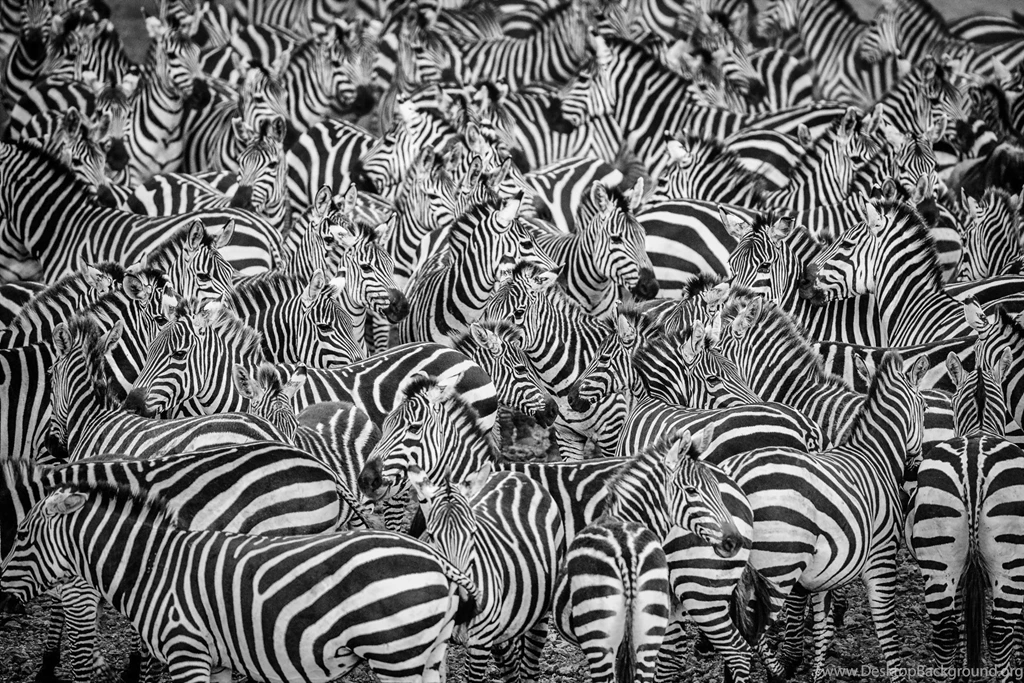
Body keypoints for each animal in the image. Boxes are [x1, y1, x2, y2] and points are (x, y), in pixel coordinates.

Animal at [0, 483, 477, 683]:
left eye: (20, 535)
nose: (0, 600)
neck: (151, 566)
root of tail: (438, 561)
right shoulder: (218, 661)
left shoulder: (186, 650)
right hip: (429, 654)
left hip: (395, 653)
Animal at [409, 463, 563, 682]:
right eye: (431, 536)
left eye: (473, 533)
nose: (464, 605)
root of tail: (513, 473)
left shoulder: (480, 642)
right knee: (510, 664)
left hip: (539, 610)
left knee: (529, 665)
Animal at [719, 351, 928, 683]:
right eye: (925, 408)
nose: (914, 468)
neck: (875, 455)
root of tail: (736, 473)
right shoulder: (881, 556)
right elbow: (885, 625)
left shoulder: (827, 571)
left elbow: (823, 626)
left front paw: (818, 672)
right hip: (778, 567)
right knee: (750, 632)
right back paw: (777, 670)